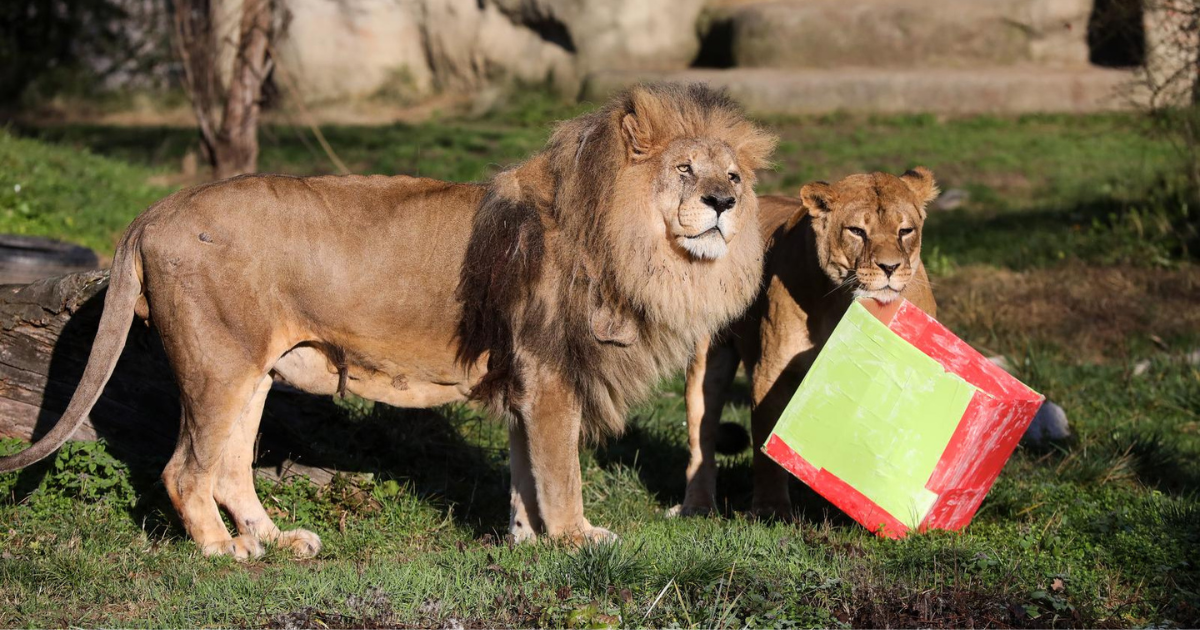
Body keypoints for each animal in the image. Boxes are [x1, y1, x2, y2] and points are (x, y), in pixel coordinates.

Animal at [0, 82, 772, 554]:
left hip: (251, 372)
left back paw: (278, 542)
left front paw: (526, 541)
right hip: (215, 364)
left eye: (732, 175)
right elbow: (561, 471)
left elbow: (524, 471)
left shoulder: (525, 380)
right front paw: (576, 539)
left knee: (229, 469)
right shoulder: (551, 374)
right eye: (685, 170)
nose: (723, 204)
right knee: (186, 470)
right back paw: (225, 552)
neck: (640, 247)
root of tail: (154, 210)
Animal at [676, 166, 936, 516]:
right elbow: (765, 452)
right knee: (701, 438)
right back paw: (697, 505)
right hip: (707, 361)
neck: (844, 302)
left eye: (905, 231)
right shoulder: (771, 371)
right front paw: (771, 509)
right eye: (857, 231)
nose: (890, 267)